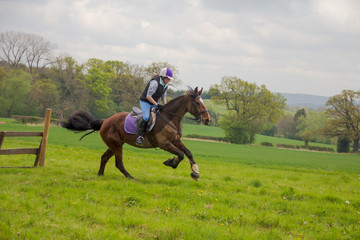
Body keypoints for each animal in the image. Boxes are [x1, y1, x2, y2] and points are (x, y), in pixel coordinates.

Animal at [60, 87, 210, 181]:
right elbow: (180, 155)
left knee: (104, 158)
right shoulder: (165, 144)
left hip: (114, 145)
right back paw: (131, 178)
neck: (170, 118)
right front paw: (171, 162)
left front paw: (195, 172)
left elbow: (188, 153)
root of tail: (105, 121)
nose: (208, 119)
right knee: (119, 163)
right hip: (117, 146)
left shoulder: (176, 141)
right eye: (197, 103)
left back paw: (100, 175)